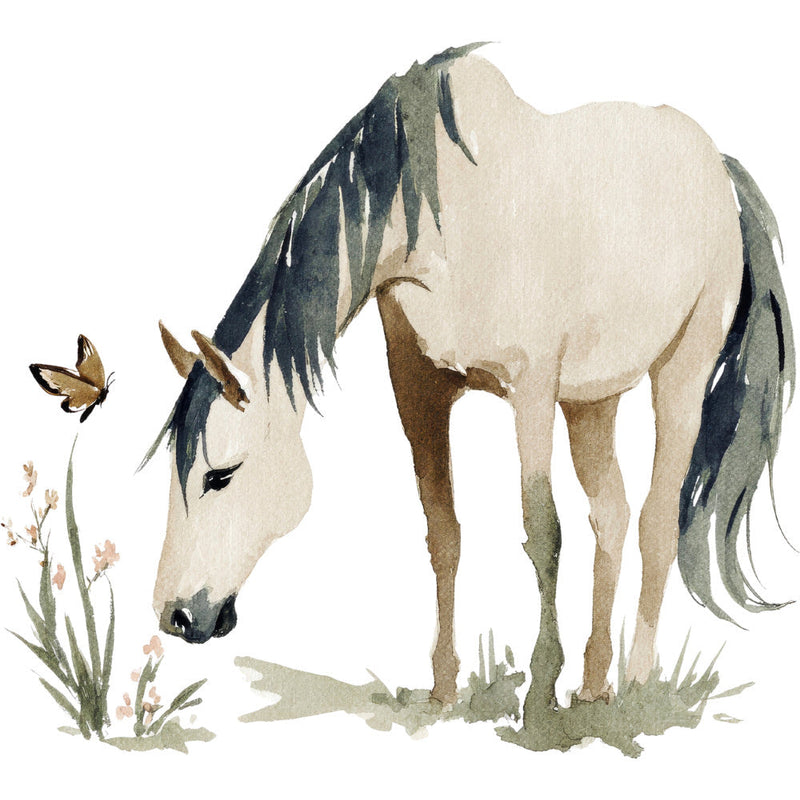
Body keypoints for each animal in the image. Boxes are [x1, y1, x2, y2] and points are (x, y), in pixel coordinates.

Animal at [148, 44, 794, 719]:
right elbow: (444, 532)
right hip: (592, 400)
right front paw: (443, 690)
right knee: (611, 518)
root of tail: (718, 165)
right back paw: (594, 686)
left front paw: (539, 693)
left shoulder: (531, 392)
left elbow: (543, 530)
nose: (176, 617)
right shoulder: (420, 394)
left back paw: (636, 688)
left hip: (680, 373)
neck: (442, 223)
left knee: (656, 523)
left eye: (221, 475)